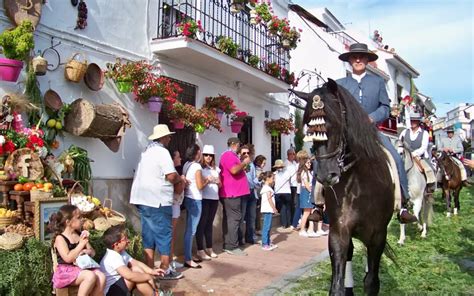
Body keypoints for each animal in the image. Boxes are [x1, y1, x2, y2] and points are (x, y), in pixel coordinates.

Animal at [294, 80, 394, 294]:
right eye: (310, 131)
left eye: (335, 124)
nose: (326, 175)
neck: (359, 184)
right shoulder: (338, 232)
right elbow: (337, 286)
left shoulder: (378, 235)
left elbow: (371, 282)